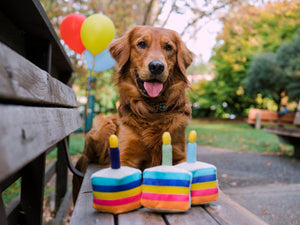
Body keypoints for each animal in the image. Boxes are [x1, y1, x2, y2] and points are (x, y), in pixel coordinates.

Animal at [74, 25, 193, 203]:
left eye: (168, 47)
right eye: (141, 44)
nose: (157, 66)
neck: (152, 110)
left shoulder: (179, 155)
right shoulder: (125, 158)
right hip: (103, 126)